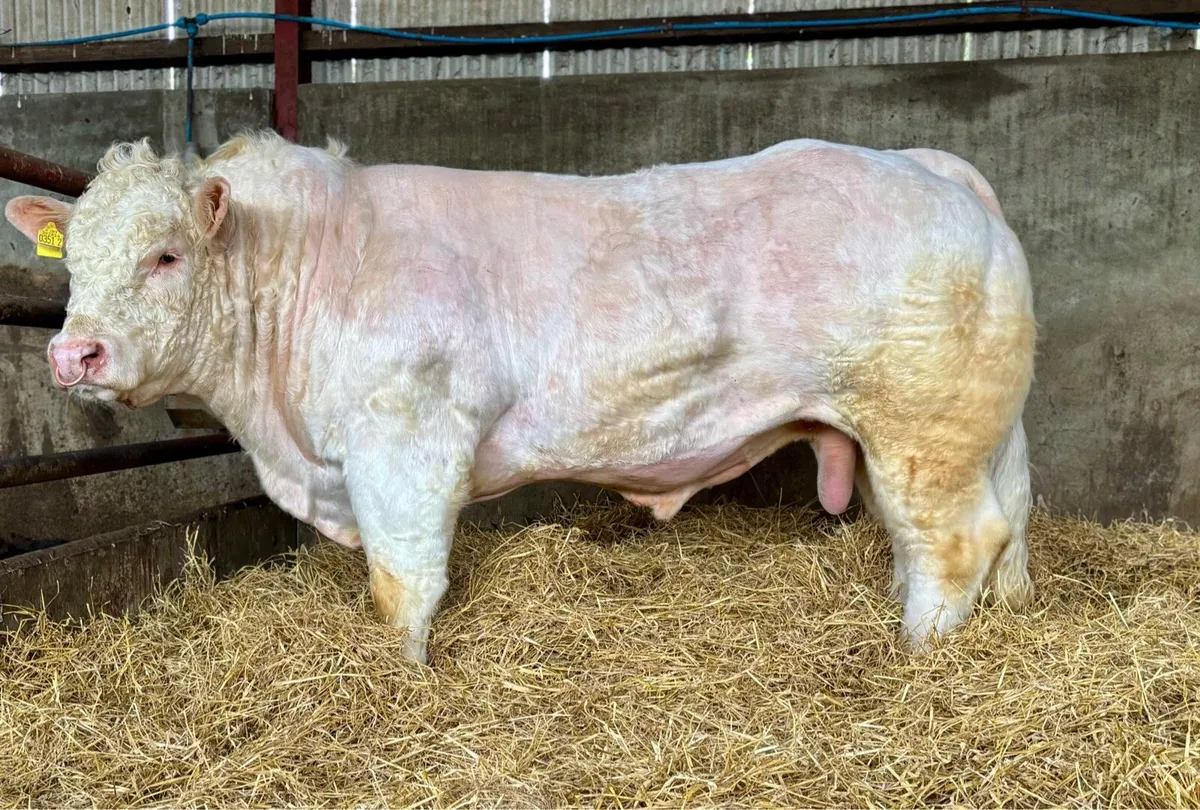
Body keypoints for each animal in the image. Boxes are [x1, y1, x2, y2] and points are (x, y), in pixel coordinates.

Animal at [5, 132, 1035, 662]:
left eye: (166, 254)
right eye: (73, 261)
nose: (74, 352)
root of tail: (931, 164)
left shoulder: (406, 444)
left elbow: (402, 587)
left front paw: (402, 679)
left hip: (920, 429)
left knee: (953, 543)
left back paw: (916, 656)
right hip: (964, 435)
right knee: (994, 529)